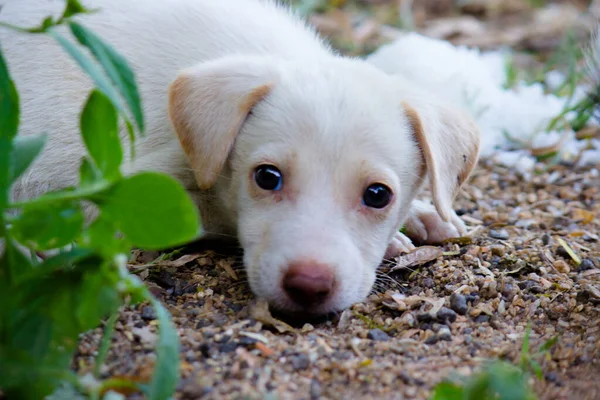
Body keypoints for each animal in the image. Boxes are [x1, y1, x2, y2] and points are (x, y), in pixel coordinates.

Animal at [0, 0, 478, 314]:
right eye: (267, 178)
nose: (308, 287)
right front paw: (401, 237)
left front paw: (423, 214)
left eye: (378, 195)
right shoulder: (122, 194)